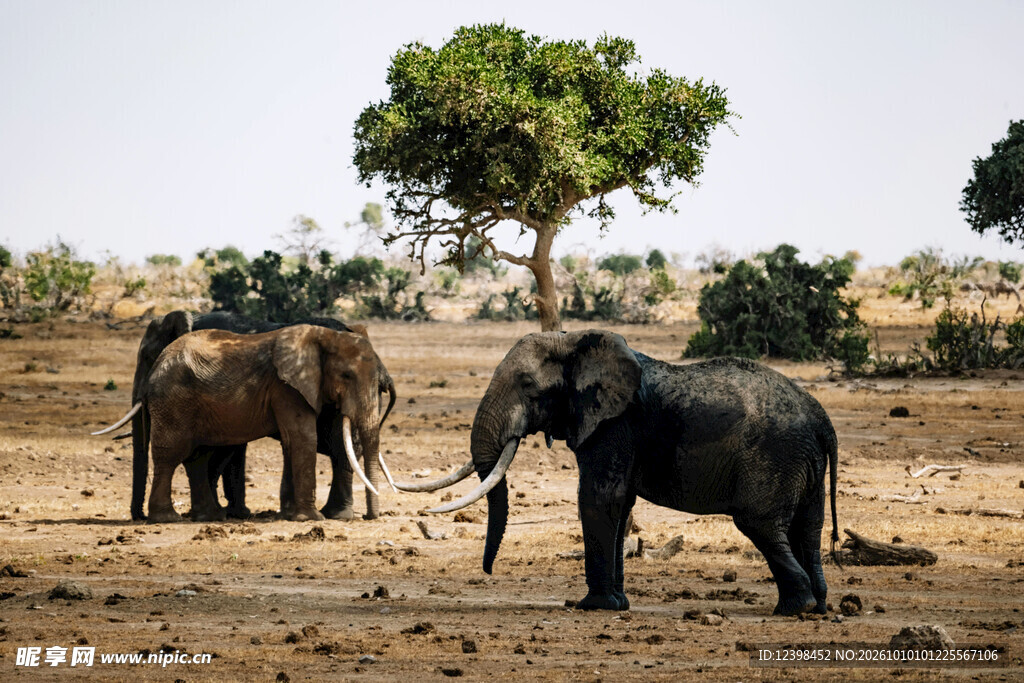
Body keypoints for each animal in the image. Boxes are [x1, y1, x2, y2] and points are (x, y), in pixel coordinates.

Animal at [96, 324, 395, 523]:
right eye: (346, 376)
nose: (369, 518)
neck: (324, 336)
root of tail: (159, 363)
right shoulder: (286, 388)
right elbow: (302, 438)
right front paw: (310, 519)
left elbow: (292, 441)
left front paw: (292, 515)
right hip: (174, 400)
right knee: (171, 454)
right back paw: (169, 519)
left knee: (197, 456)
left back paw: (210, 517)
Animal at [404, 330, 839, 616]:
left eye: (527, 384)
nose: (489, 571)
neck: (575, 343)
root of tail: (822, 419)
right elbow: (621, 504)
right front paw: (618, 604)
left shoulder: (613, 426)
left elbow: (599, 500)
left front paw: (593, 606)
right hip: (804, 463)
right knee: (807, 527)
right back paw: (817, 606)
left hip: (775, 456)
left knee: (761, 525)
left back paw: (794, 608)